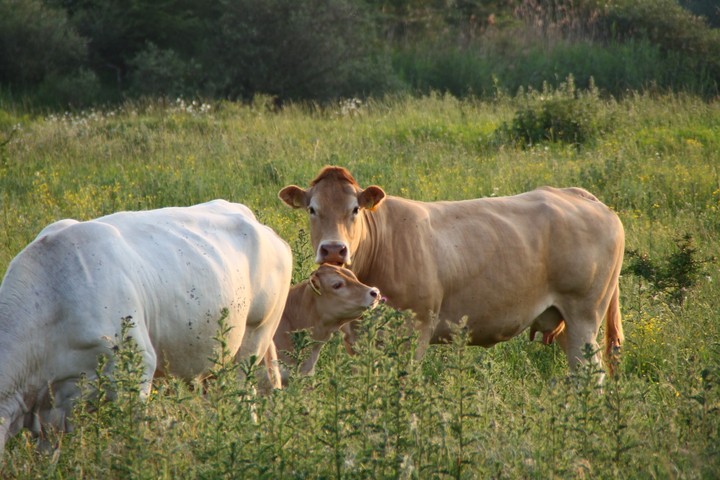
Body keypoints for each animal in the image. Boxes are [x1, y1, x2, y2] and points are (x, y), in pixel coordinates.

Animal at [279, 166, 625, 379]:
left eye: (355, 209)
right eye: (312, 209)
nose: (334, 250)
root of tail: (577, 194)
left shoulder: (414, 331)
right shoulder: (357, 339)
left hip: (584, 315)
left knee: (592, 374)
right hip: (564, 319)